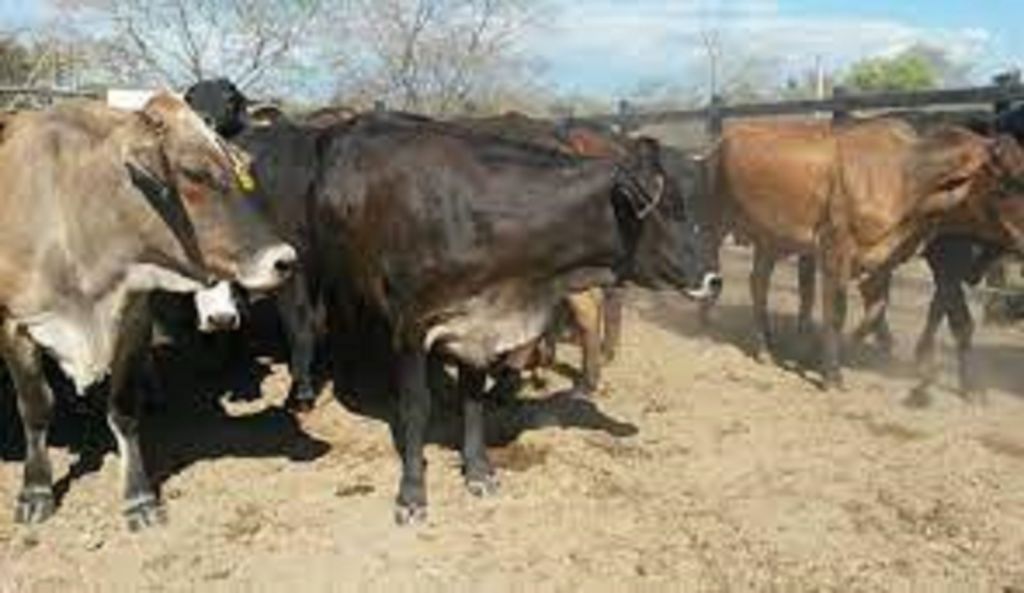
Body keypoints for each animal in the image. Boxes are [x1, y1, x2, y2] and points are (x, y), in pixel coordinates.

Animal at [708, 119, 1024, 389]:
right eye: (1006, 184)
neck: (904, 177)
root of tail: (723, 139)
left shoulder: (882, 262)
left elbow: (875, 312)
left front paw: (821, 354)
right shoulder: (835, 249)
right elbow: (837, 312)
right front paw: (832, 376)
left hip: (768, 240)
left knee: (758, 284)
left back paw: (764, 347)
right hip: (715, 222)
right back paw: (704, 323)